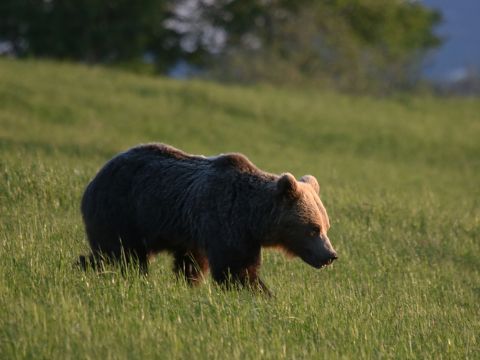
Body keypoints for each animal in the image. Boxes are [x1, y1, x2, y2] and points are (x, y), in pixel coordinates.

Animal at [79, 142, 336, 294]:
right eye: (313, 228)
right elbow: (236, 269)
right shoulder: (225, 222)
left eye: (326, 226)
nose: (331, 255)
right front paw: (261, 293)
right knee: (122, 255)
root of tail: (94, 179)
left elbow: (193, 265)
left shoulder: (200, 235)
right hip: (123, 212)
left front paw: (190, 286)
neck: (252, 219)